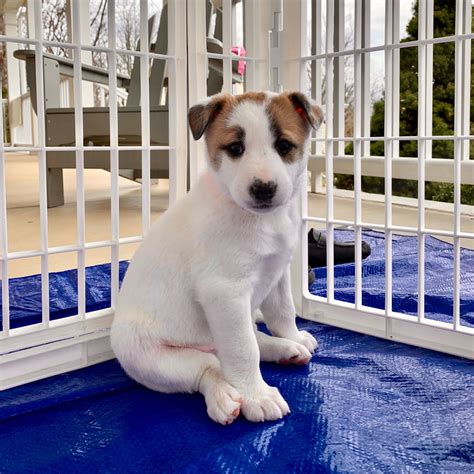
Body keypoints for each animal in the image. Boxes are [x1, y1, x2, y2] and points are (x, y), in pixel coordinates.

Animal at [110, 90, 324, 424]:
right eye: (236, 148)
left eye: (284, 146)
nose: (263, 189)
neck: (258, 219)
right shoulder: (225, 293)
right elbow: (243, 351)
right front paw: (256, 396)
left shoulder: (276, 274)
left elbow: (282, 311)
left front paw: (293, 335)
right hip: (151, 356)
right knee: (210, 370)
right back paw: (225, 397)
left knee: (253, 341)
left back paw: (286, 349)